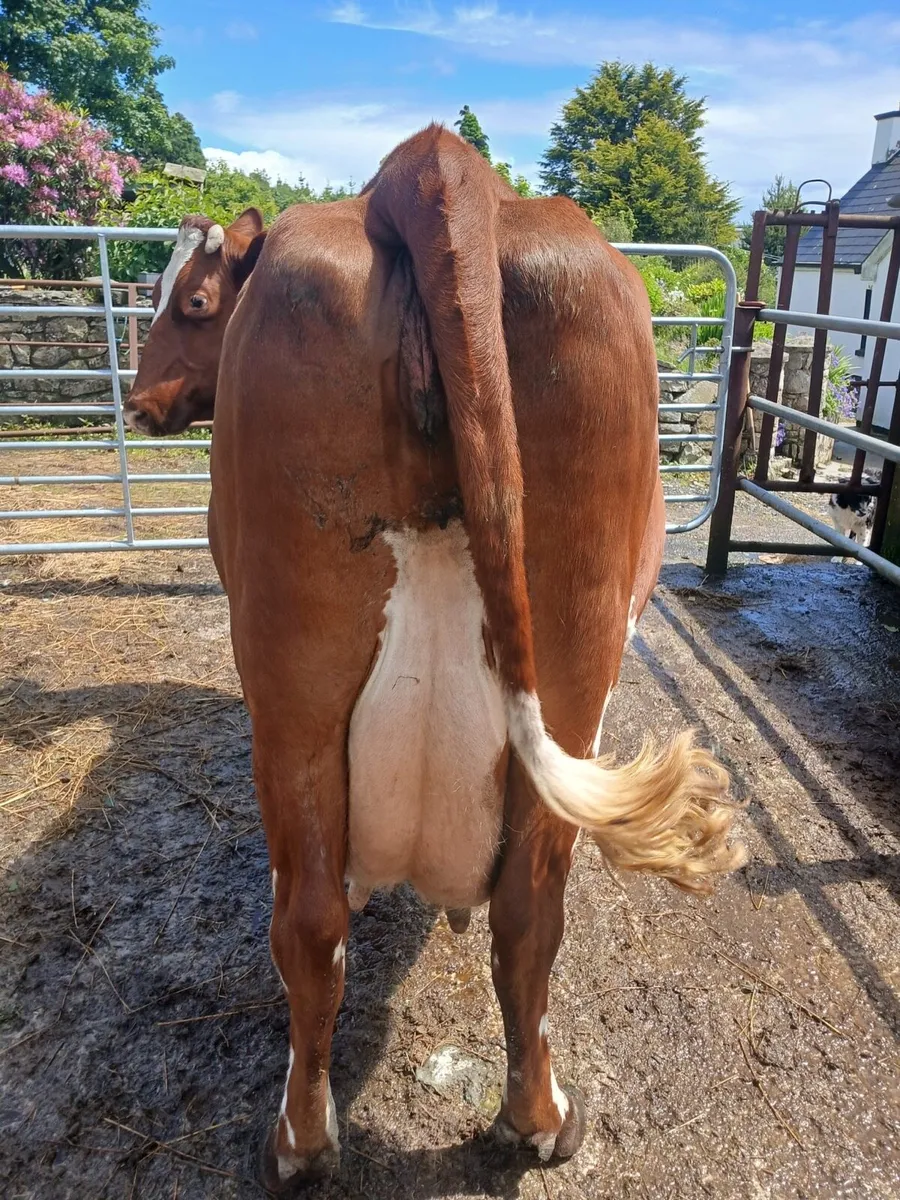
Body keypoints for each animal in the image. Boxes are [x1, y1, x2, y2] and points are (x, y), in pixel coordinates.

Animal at [126, 126, 744, 1190]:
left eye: (193, 302)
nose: (137, 400)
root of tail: (435, 167)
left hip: (296, 691)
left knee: (322, 917)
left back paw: (310, 1140)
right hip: (556, 670)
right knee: (518, 911)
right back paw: (534, 1121)